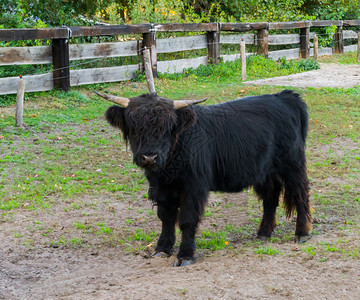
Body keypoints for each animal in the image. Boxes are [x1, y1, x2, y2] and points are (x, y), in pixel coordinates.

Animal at [96, 89, 312, 268]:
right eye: (134, 126)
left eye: (167, 128)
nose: (149, 157)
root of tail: (285, 96)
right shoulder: (162, 189)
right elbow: (166, 218)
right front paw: (162, 249)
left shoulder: (194, 187)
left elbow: (187, 220)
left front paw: (185, 255)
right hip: (264, 171)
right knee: (270, 198)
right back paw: (264, 233)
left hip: (292, 164)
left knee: (300, 194)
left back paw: (302, 233)